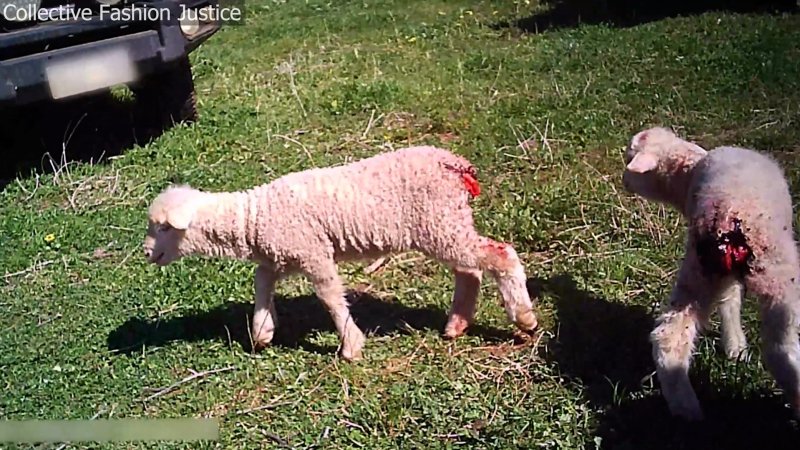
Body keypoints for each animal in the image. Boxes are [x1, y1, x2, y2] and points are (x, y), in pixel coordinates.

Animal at [142, 145, 538, 361]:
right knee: (469, 269)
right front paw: (262, 331)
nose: (146, 254)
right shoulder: (283, 254)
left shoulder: (312, 253)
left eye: (163, 228)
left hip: (440, 223)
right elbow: (260, 282)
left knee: (501, 255)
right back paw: (456, 325)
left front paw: (351, 346)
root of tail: (454, 163)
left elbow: (330, 297)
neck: (254, 217)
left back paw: (524, 318)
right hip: (444, 226)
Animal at [622, 126, 800, 421]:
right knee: (779, 348)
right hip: (778, 274)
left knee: (669, 337)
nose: (624, 180)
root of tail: (727, 217)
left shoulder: (722, 276)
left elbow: (729, 302)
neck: (689, 171)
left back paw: (685, 409)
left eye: (629, 157)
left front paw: (735, 348)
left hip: (697, 271)